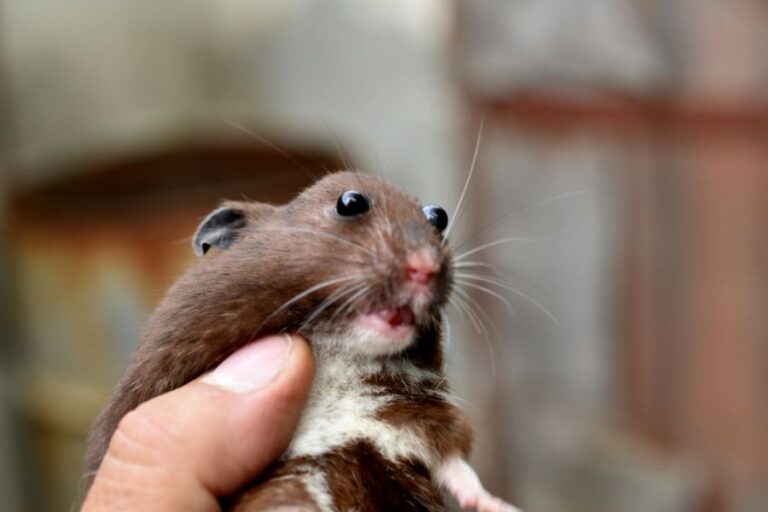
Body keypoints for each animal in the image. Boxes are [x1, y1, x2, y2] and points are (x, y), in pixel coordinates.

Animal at [83, 171, 519, 511]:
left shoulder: (411, 418)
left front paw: (498, 505)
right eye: (350, 202)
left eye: (438, 216)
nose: (425, 269)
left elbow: (455, 464)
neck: (336, 358)